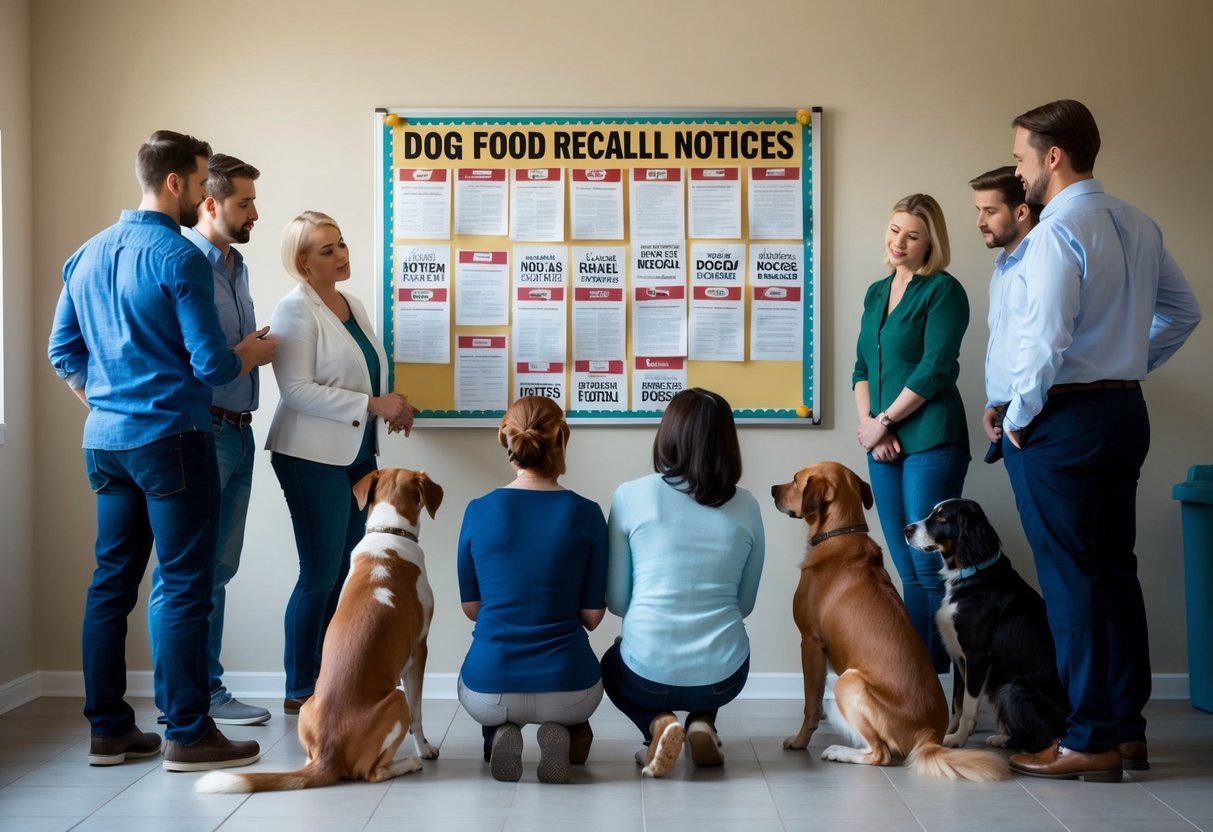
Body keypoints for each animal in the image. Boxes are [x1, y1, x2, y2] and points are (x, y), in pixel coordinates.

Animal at [196, 470, 443, 795]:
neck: (390, 532)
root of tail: (329, 753)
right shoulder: (419, 650)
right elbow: (418, 713)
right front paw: (425, 750)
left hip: (307, 710)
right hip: (395, 700)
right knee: (373, 772)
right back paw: (408, 763)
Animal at [771, 463, 1009, 781]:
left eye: (795, 480)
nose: (772, 489)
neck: (839, 533)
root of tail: (928, 737)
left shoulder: (809, 642)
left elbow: (810, 704)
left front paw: (799, 741)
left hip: (848, 683)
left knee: (880, 754)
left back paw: (839, 752)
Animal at [907, 502, 1067, 756]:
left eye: (941, 518)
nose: (906, 530)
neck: (971, 574)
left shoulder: (977, 656)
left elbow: (969, 705)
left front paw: (957, 739)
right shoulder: (958, 655)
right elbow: (958, 702)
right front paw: (949, 731)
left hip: (1014, 687)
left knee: (1041, 739)